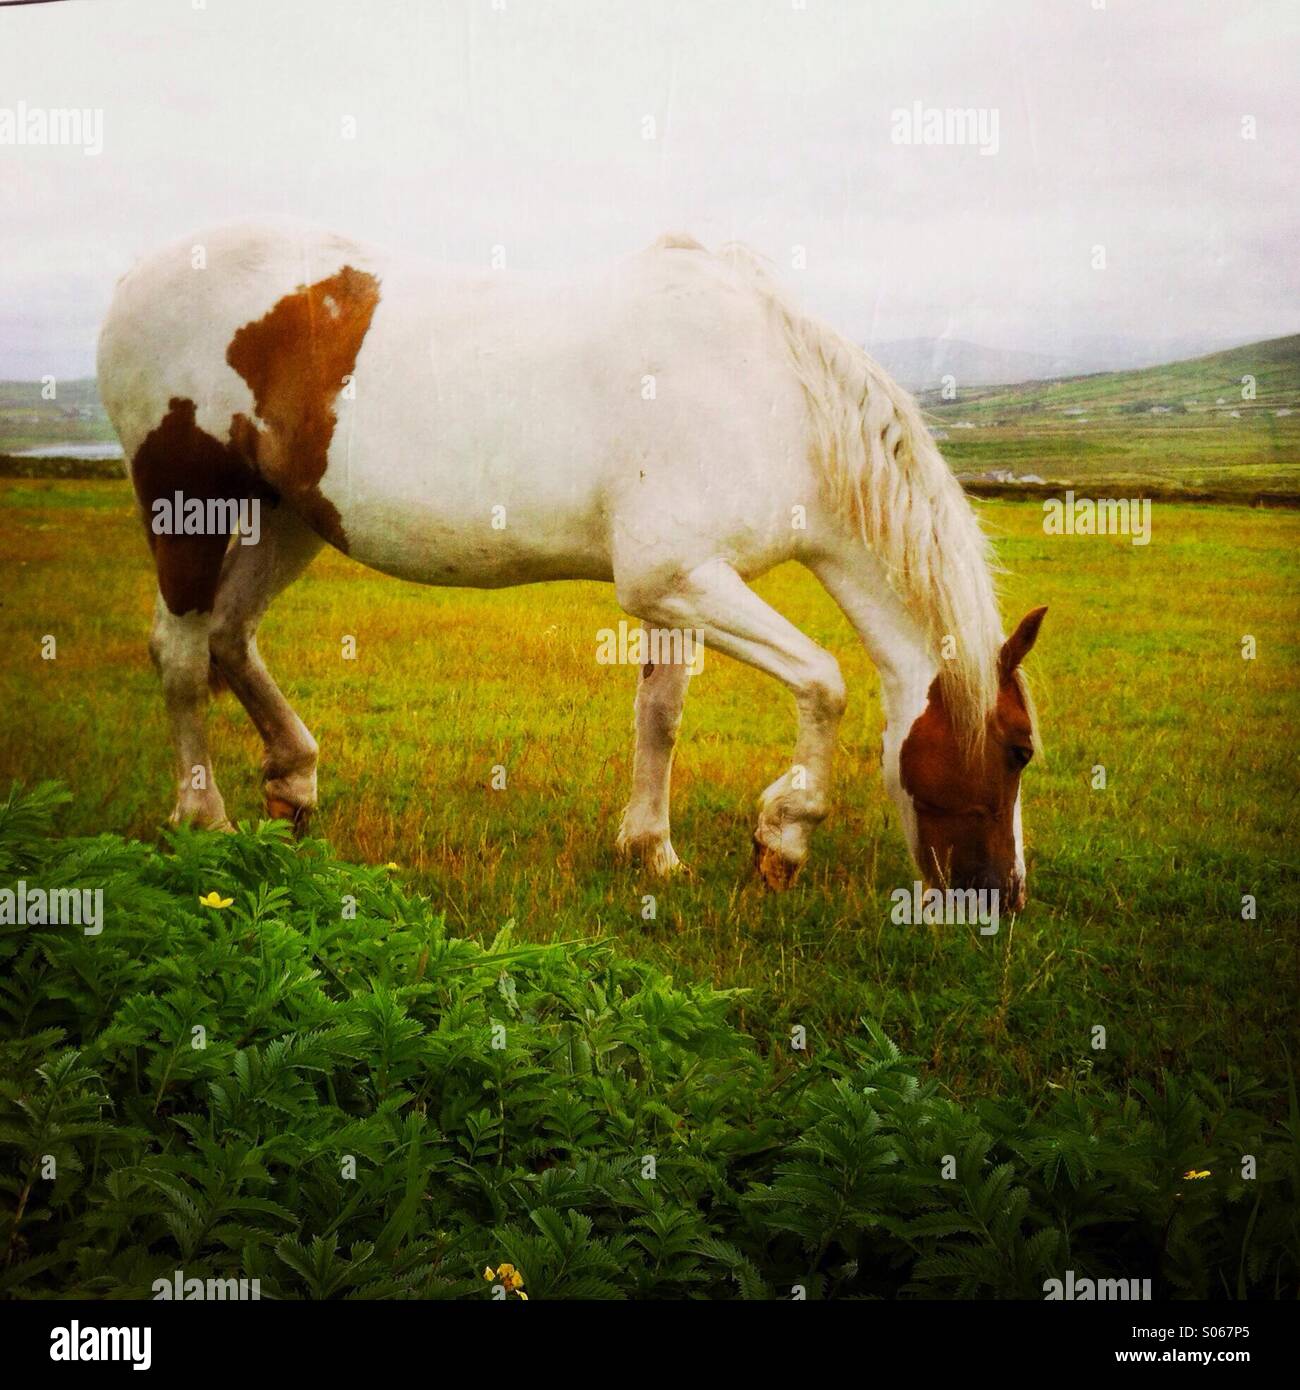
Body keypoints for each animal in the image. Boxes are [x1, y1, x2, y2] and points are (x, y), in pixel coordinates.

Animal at [97, 220, 1045, 902]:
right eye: (1018, 751)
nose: (1003, 897)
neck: (773, 392)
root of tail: (136, 278)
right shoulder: (675, 578)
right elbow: (825, 682)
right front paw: (784, 838)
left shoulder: (678, 594)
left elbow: (659, 718)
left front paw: (651, 851)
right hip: (185, 508)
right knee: (181, 654)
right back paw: (205, 821)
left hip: (284, 516)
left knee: (230, 638)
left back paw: (294, 783)